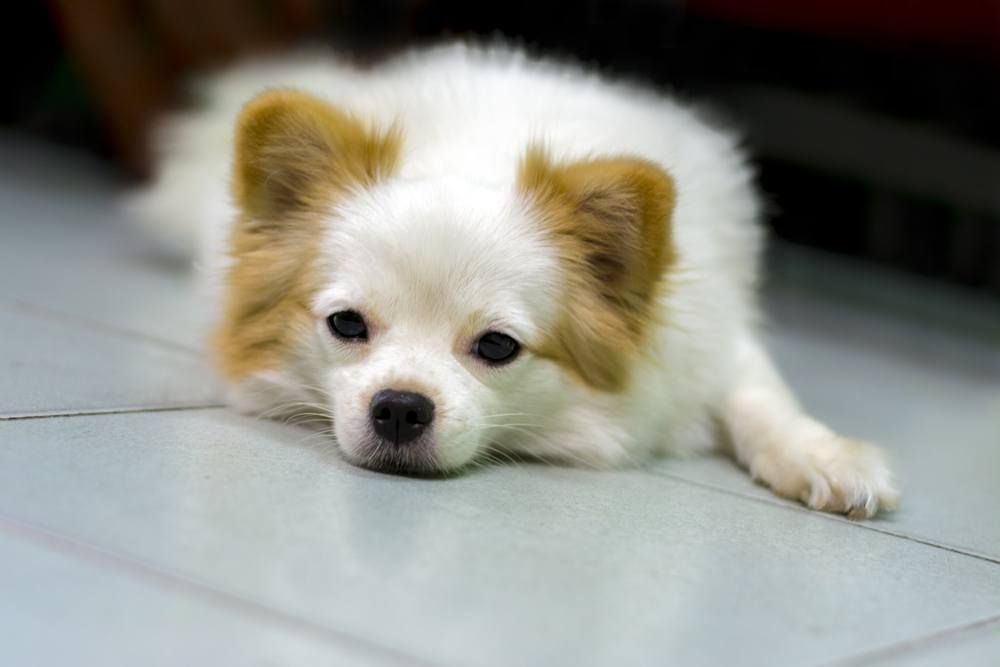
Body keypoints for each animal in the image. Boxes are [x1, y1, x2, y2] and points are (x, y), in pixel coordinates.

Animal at [131, 41, 900, 520]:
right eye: (346, 324)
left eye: (497, 346)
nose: (400, 406)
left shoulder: (712, 334)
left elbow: (762, 397)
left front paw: (823, 455)